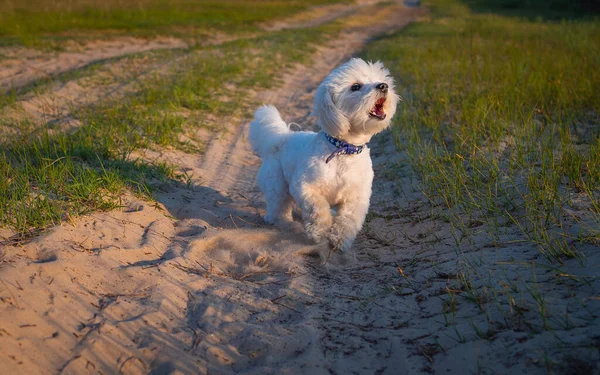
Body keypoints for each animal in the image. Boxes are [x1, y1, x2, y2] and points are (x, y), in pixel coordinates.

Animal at [248, 58, 398, 253]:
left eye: (381, 80)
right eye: (356, 87)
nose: (383, 86)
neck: (343, 149)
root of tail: (281, 137)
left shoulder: (357, 197)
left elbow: (348, 219)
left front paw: (340, 240)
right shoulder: (305, 188)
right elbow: (317, 209)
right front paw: (320, 233)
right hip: (277, 185)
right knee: (277, 212)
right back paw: (288, 225)